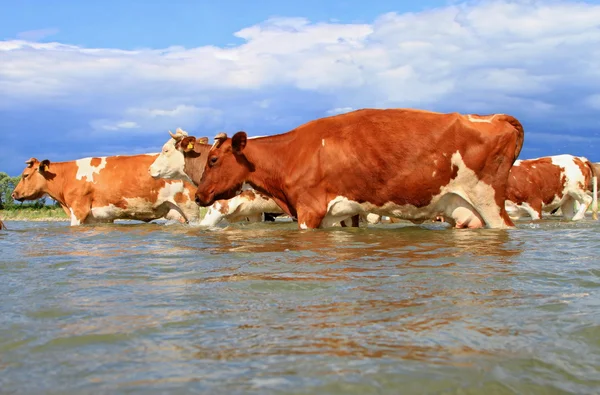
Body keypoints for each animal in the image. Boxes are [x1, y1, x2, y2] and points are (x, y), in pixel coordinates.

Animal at [193, 110, 524, 230]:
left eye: (213, 159)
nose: (198, 195)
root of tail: (492, 117)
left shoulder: (309, 209)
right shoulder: (333, 214)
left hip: (489, 201)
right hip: (463, 209)